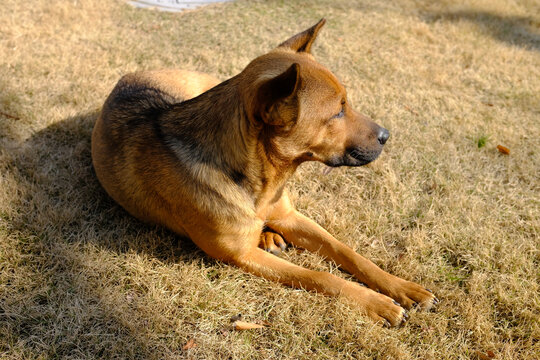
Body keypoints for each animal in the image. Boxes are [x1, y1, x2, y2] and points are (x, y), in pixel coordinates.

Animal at [93, 20, 436, 330]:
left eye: (346, 103)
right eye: (338, 111)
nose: (386, 135)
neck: (262, 178)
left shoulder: (291, 216)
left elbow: (349, 252)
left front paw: (401, 287)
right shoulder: (241, 255)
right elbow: (320, 275)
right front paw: (376, 302)